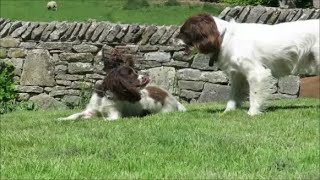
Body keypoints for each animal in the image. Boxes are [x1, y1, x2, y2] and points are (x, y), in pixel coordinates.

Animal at [58, 51, 186, 121]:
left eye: (135, 71)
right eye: (130, 74)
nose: (146, 77)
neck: (106, 96)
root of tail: (172, 98)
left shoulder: (115, 115)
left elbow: (101, 119)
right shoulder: (91, 109)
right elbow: (75, 115)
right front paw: (61, 119)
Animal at [176, 13, 318, 116]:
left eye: (184, 32)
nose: (173, 39)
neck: (225, 38)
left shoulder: (256, 73)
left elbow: (254, 95)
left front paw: (252, 113)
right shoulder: (237, 75)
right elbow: (233, 95)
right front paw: (227, 111)